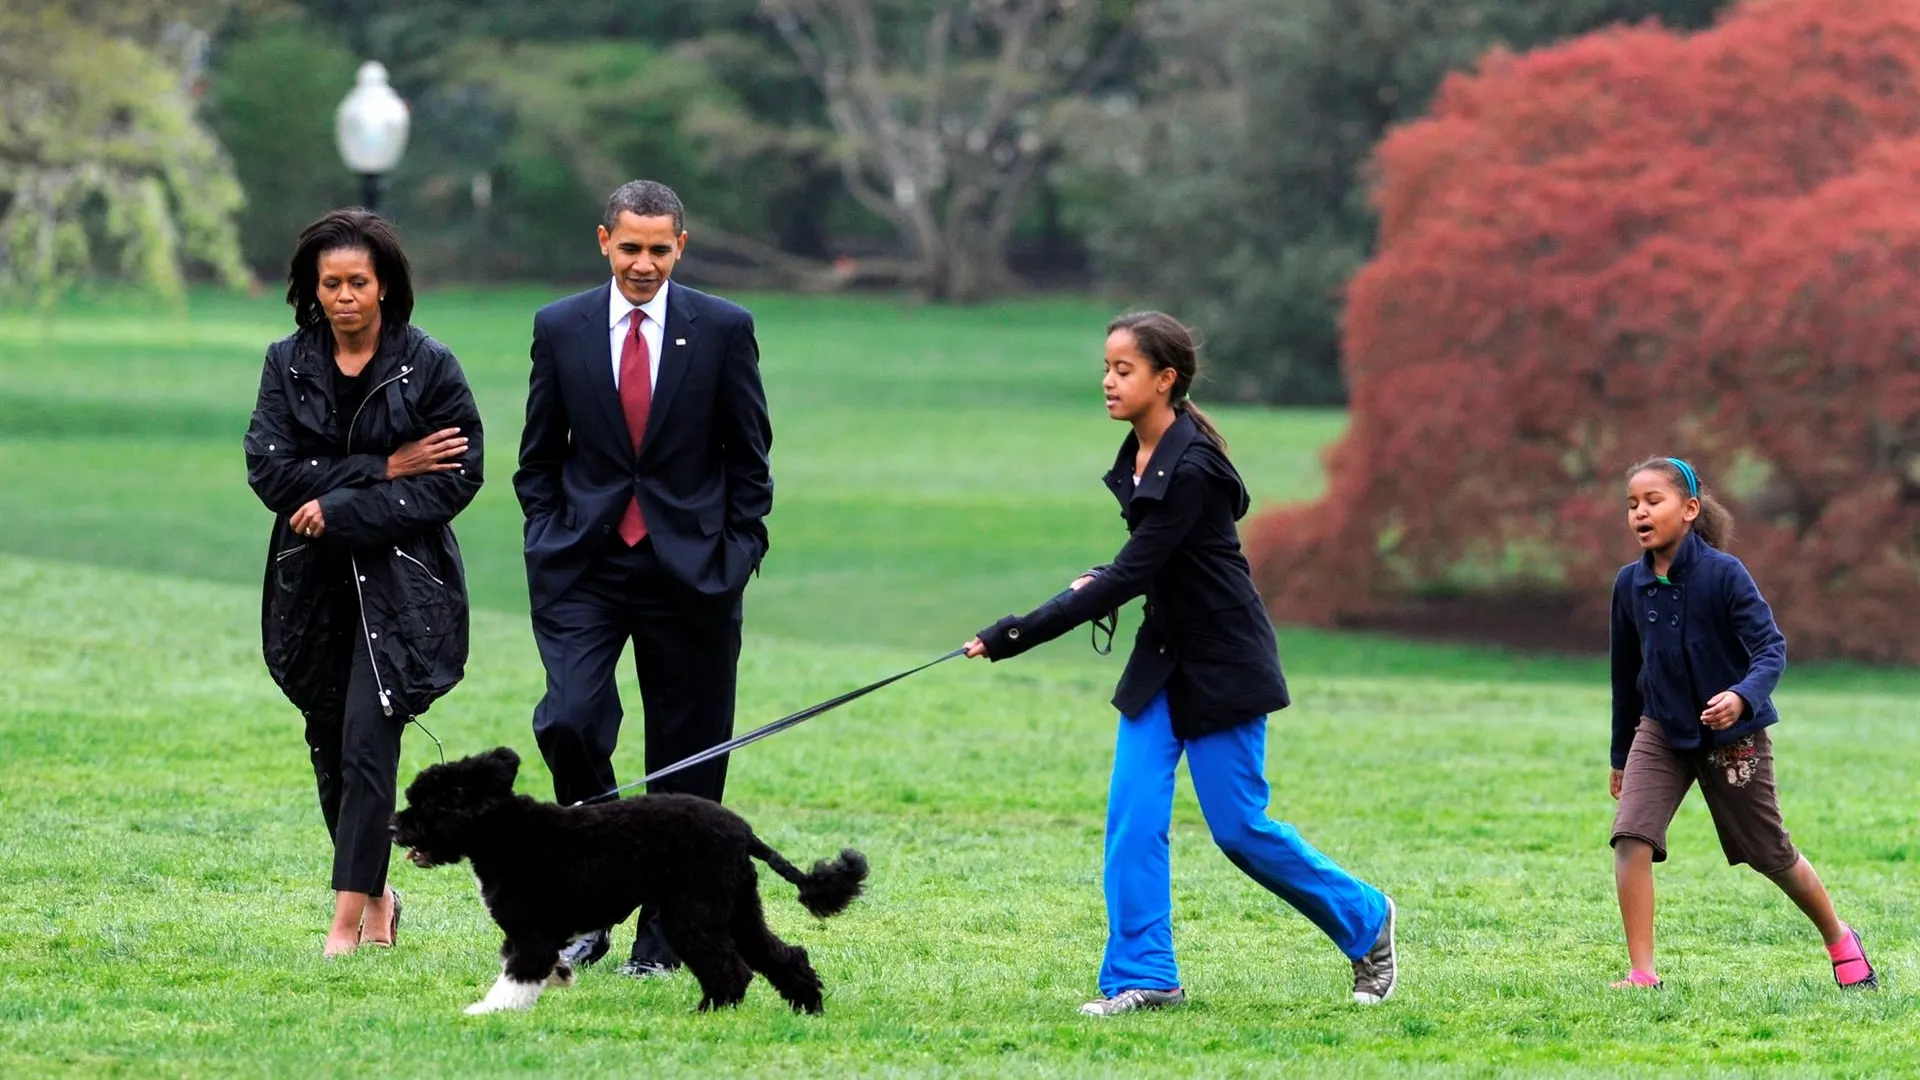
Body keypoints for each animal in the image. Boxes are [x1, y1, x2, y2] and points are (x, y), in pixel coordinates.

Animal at [389, 745, 871, 1014]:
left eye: (427, 804)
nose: (394, 826)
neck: (503, 830)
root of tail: (744, 832)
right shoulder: (536, 933)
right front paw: (561, 976)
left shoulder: (530, 931)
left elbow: (517, 975)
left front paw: (488, 1010)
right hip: (737, 907)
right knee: (783, 955)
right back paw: (808, 1006)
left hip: (691, 912)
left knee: (732, 969)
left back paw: (708, 1013)